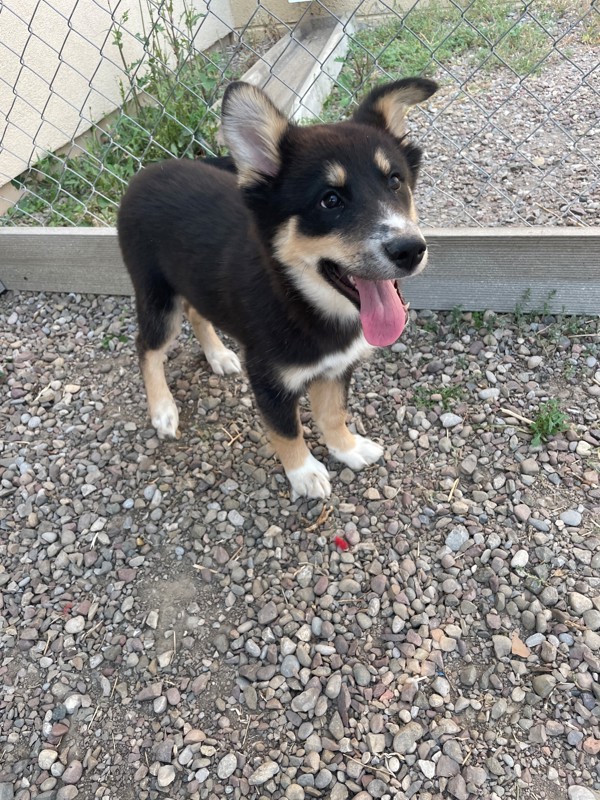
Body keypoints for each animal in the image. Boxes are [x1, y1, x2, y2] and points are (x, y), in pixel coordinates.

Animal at [117, 76, 436, 500]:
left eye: (395, 181)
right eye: (330, 200)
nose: (410, 250)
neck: (301, 300)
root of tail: (145, 172)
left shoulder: (336, 367)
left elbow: (332, 413)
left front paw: (347, 449)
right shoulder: (268, 378)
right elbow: (287, 430)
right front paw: (304, 473)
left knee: (196, 311)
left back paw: (218, 355)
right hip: (156, 295)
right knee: (147, 348)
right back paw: (163, 410)